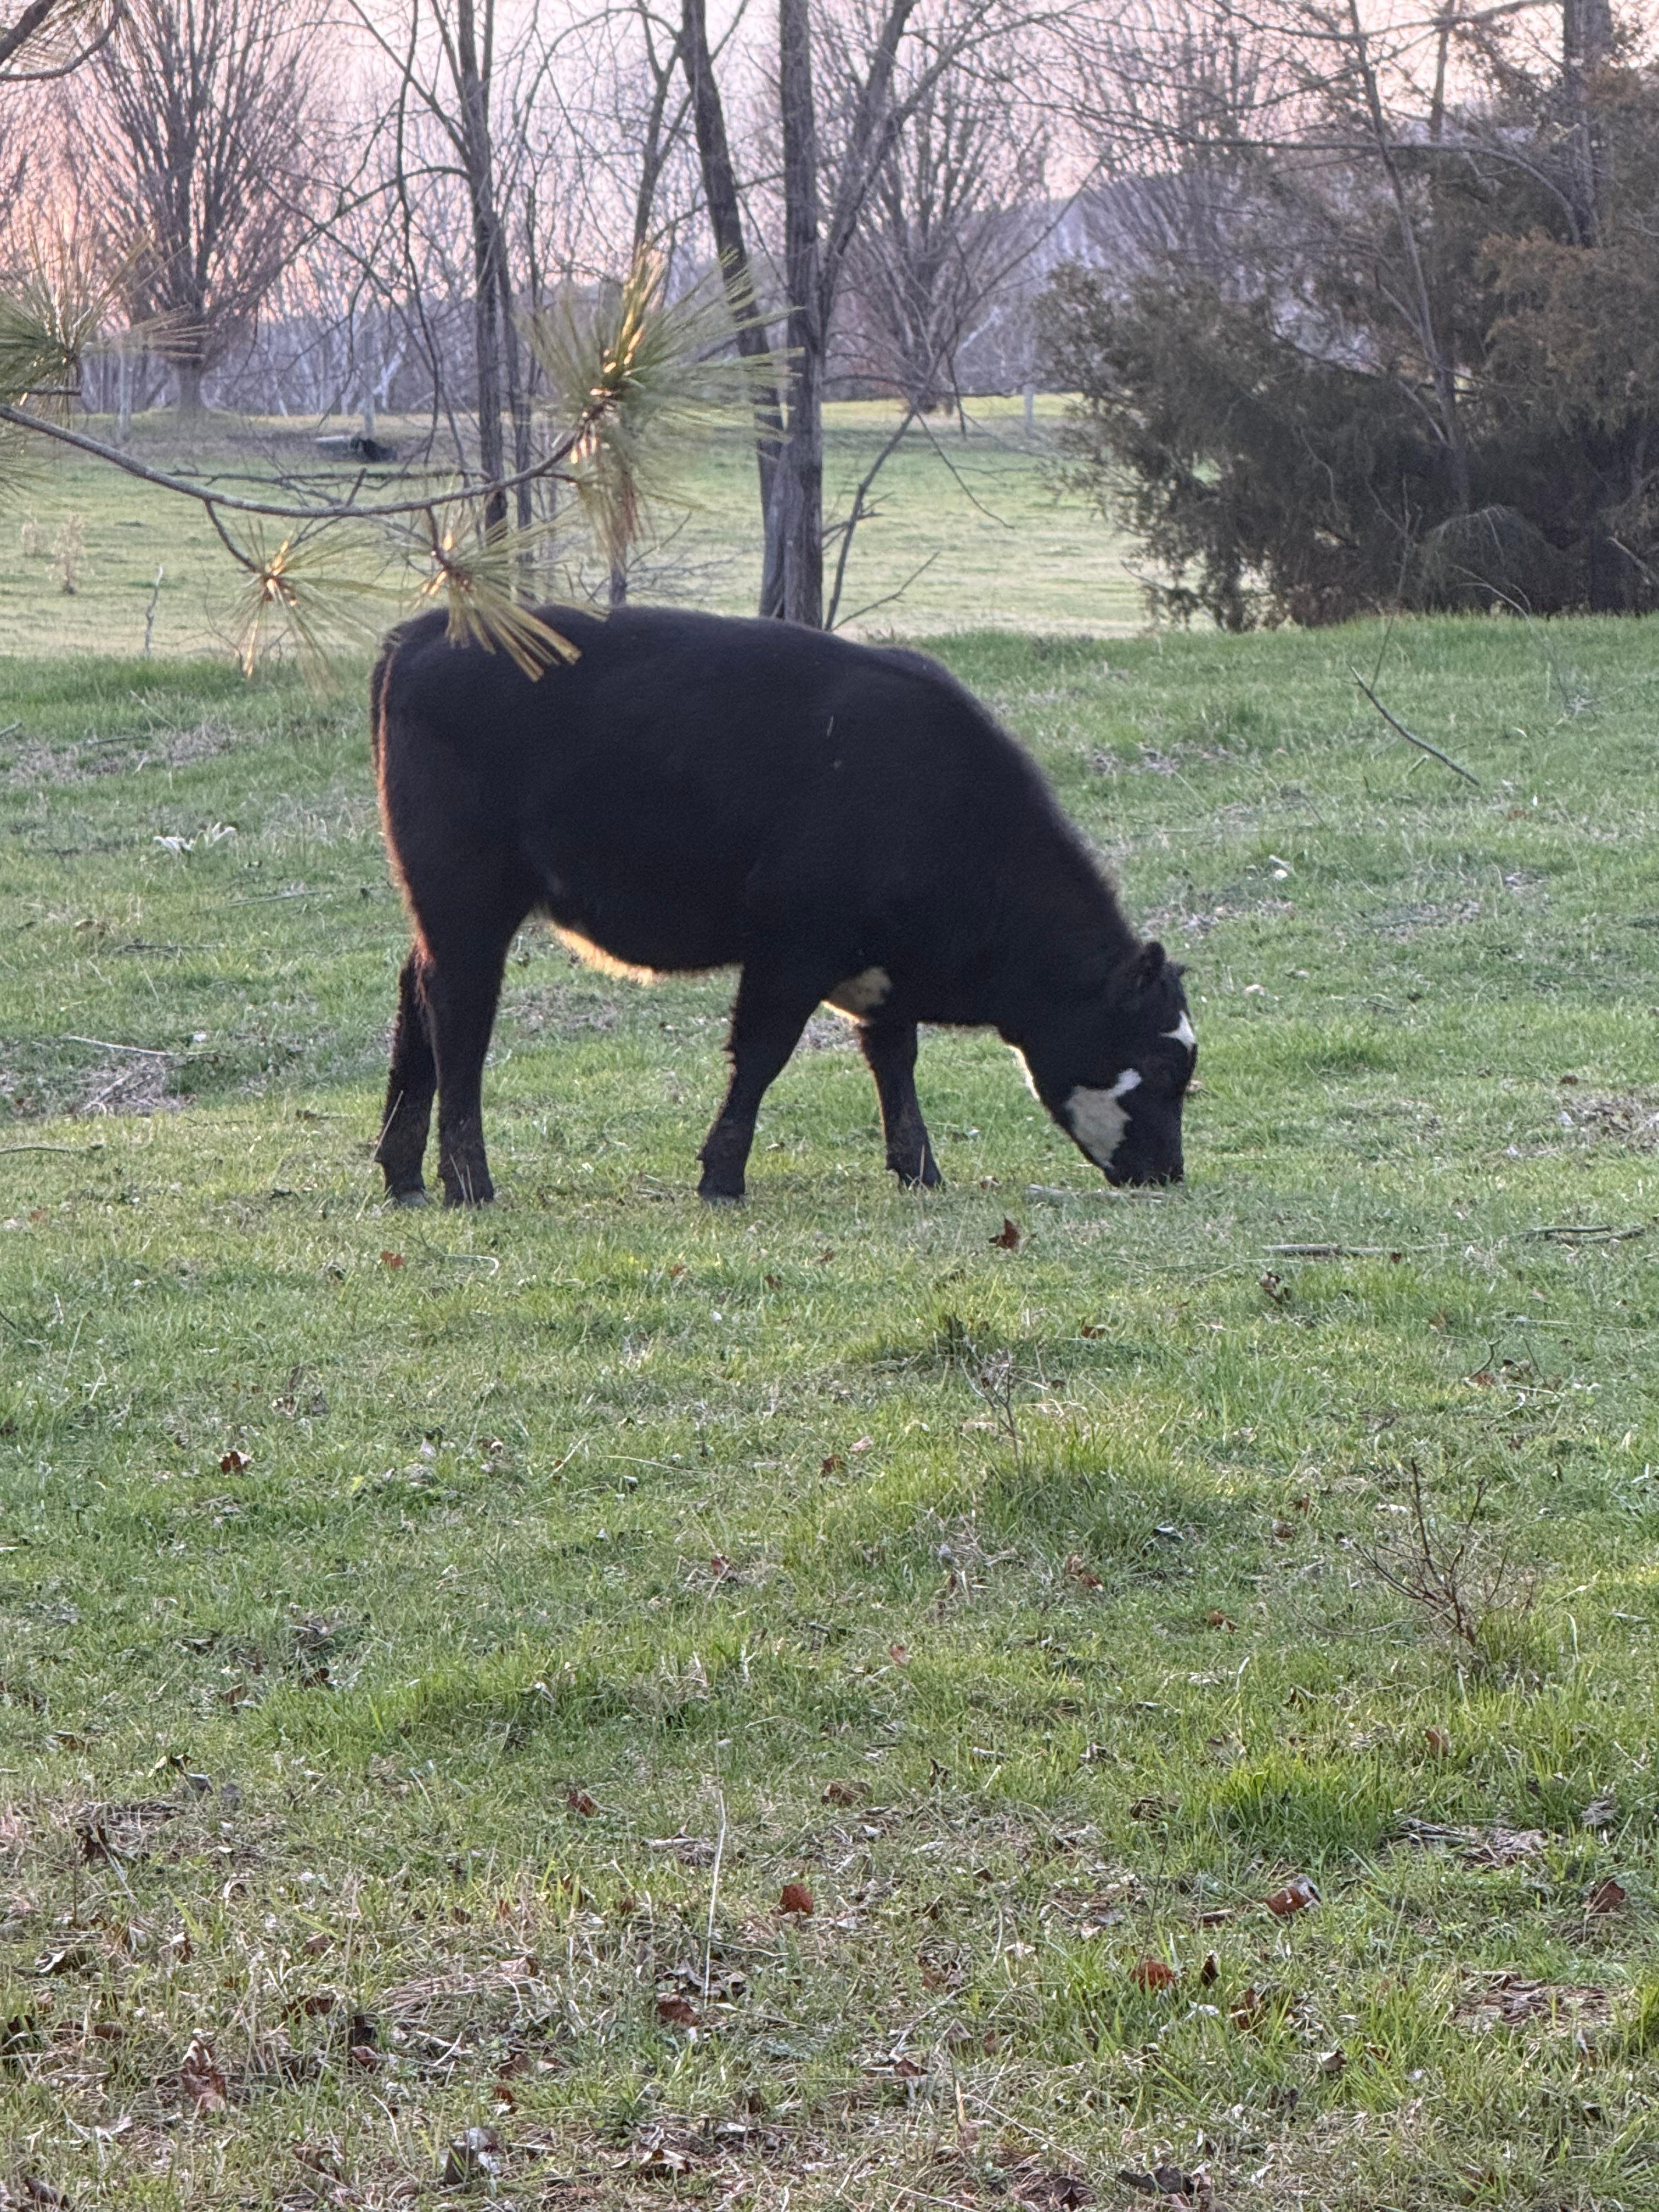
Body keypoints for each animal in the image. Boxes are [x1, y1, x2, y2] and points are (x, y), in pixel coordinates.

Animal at [370, 604, 1196, 1208]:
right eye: (1161, 1063)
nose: (1169, 1172)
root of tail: (427, 629)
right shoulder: (791, 949)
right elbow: (763, 1056)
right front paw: (722, 1178)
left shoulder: (876, 970)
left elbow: (896, 1062)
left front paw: (921, 1172)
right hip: (467, 900)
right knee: (459, 1020)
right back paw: (469, 1183)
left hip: (440, 908)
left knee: (416, 1003)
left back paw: (404, 1175)